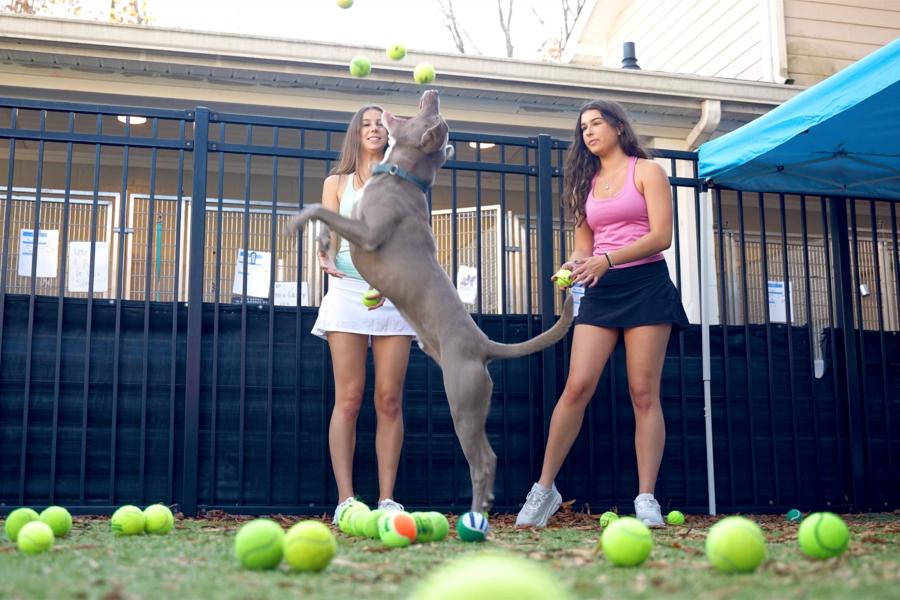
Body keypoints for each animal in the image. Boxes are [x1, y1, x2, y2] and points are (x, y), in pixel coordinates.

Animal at [284, 91, 572, 512]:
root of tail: (484, 344)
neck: (399, 176)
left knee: (484, 459)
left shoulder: (368, 234)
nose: (433, 93)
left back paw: (476, 513)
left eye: (434, 118)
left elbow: (321, 210)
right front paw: (319, 241)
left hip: (463, 400)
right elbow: (327, 218)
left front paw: (298, 222)